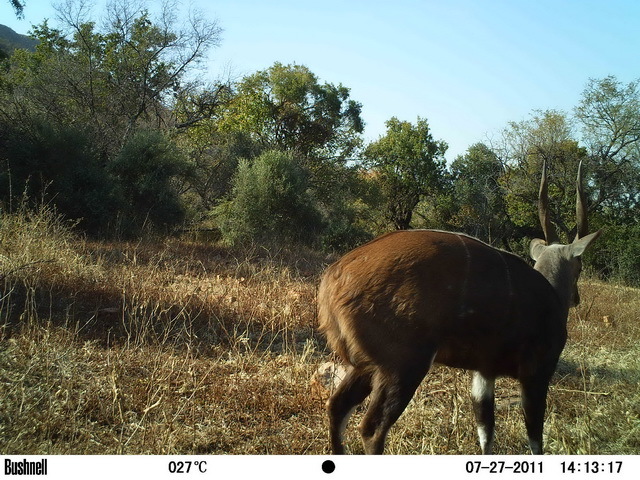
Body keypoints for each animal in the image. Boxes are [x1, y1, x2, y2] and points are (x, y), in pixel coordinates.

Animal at [320, 161, 600, 454]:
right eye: (579, 266)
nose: (576, 298)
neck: (550, 296)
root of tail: (334, 276)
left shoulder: (484, 373)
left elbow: (486, 432)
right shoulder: (537, 373)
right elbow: (535, 438)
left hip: (366, 366)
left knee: (336, 406)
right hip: (402, 366)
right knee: (371, 429)